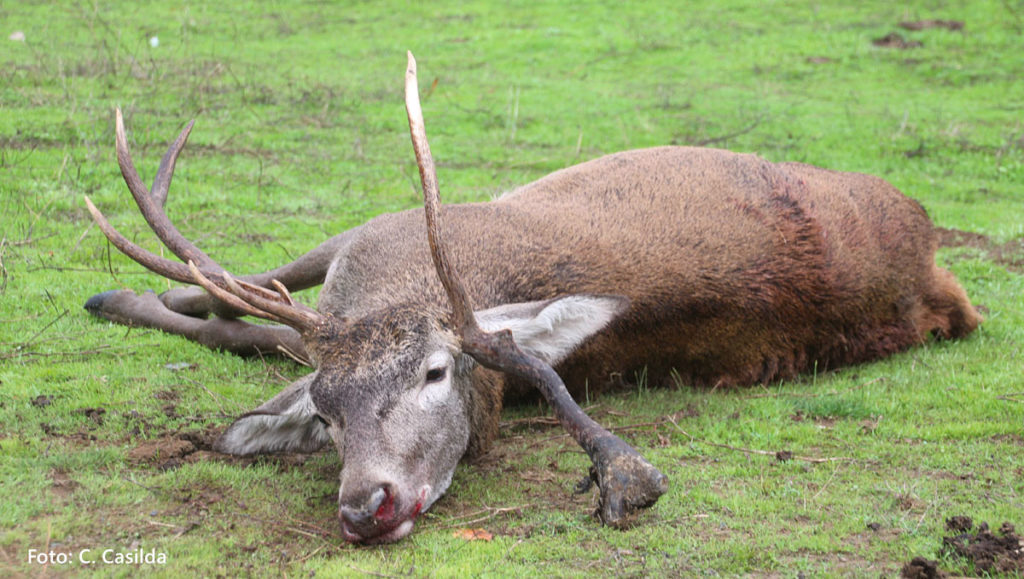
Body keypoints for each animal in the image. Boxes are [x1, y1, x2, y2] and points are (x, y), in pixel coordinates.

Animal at [83, 53, 978, 541]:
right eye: (327, 413)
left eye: (435, 372)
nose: (368, 504)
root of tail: (933, 260)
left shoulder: (371, 229)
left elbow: (243, 314)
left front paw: (121, 294)